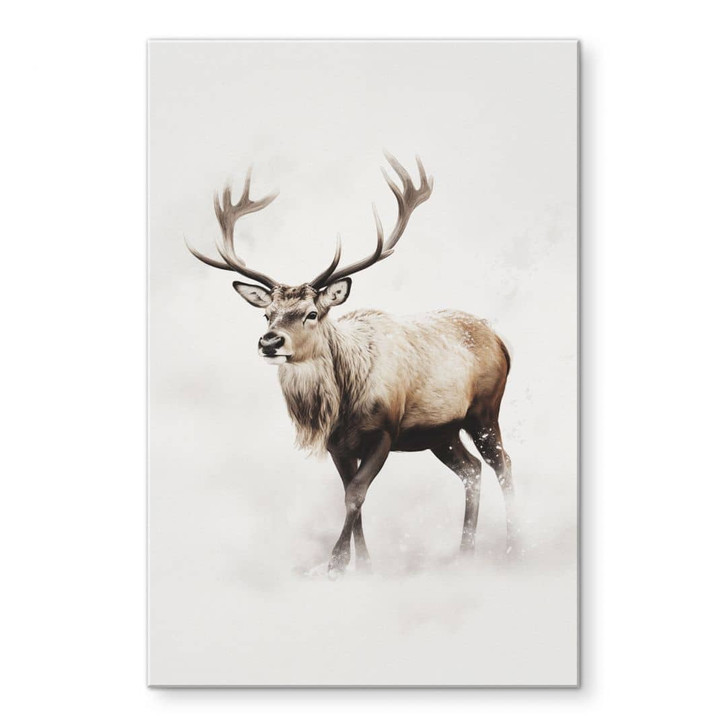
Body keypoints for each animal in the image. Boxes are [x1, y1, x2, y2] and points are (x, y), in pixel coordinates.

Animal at [187, 153, 516, 577]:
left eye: (311, 313)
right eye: (267, 314)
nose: (270, 341)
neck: (342, 404)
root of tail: (501, 341)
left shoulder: (385, 431)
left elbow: (355, 494)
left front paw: (335, 565)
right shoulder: (337, 444)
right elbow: (350, 494)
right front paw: (364, 566)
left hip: (484, 411)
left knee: (502, 464)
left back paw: (513, 547)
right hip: (440, 433)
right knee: (472, 469)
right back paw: (465, 552)